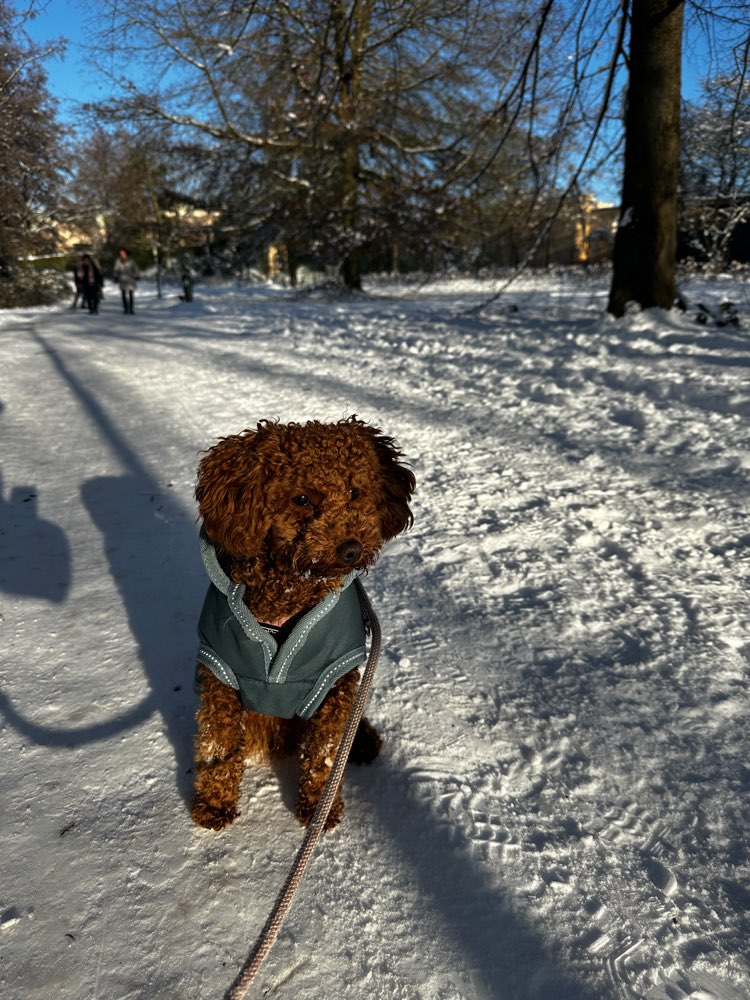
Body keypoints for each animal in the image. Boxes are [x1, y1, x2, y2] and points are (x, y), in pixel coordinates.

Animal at [192, 418, 418, 832]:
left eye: (354, 491)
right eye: (301, 499)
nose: (351, 548)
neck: (288, 593)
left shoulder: (334, 683)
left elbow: (325, 754)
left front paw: (318, 808)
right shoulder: (221, 674)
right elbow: (218, 745)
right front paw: (214, 804)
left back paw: (362, 740)